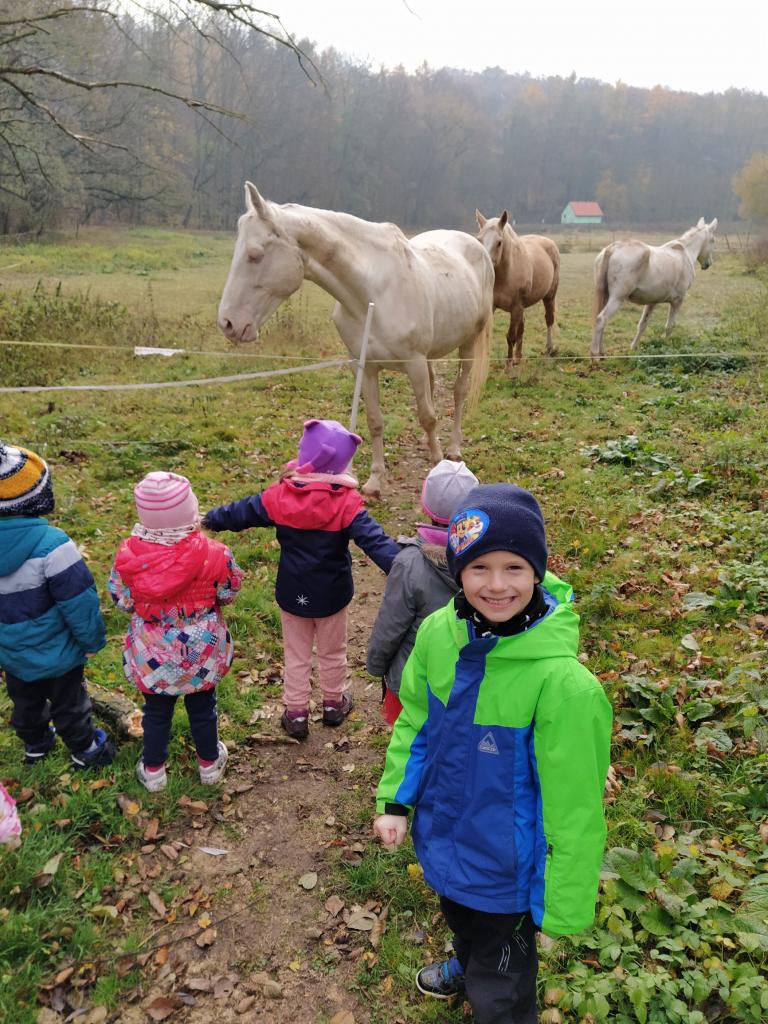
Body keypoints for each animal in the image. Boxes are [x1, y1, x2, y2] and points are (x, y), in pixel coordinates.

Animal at [218, 182, 494, 496]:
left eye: (255, 255)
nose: (229, 323)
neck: (373, 293)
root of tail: (476, 245)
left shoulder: (413, 363)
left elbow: (427, 416)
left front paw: (437, 463)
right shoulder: (364, 366)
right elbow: (375, 421)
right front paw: (375, 481)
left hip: (468, 342)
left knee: (459, 392)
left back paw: (453, 448)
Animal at [475, 210, 560, 368]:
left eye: (499, 242)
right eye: (479, 239)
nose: (486, 266)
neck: (505, 275)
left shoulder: (516, 307)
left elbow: (511, 336)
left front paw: (508, 366)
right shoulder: (493, 306)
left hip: (549, 297)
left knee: (549, 320)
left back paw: (549, 350)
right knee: (522, 326)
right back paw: (518, 357)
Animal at [590, 218, 718, 359]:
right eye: (713, 240)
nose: (708, 264)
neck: (685, 253)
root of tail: (612, 249)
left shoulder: (652, 302)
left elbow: (642, 325)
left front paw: (633, 349)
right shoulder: (677, 301)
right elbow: (669, 326)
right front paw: (667, 349)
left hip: (606, 296)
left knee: (601, 321)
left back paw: (602, 353)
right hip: (617, 299)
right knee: (601, 319)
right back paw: (595, 357)